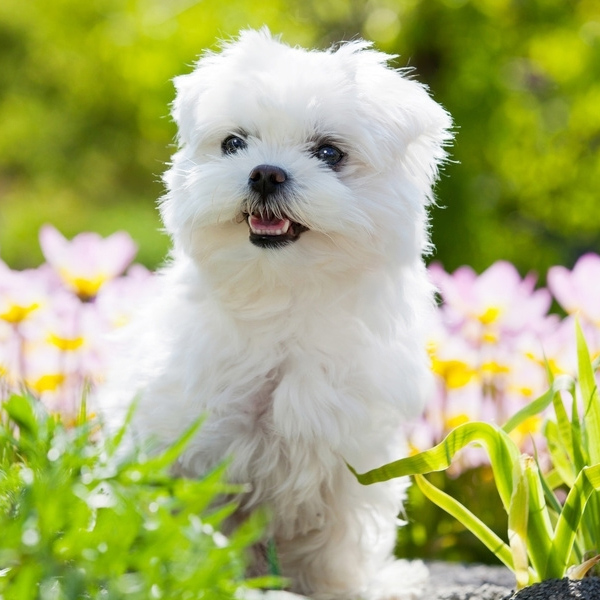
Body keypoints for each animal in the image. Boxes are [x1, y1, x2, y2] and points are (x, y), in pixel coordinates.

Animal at [100, 29, 452, 599]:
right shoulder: (197, 442)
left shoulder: (350, 448)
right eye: (233, 143)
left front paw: (340, 587)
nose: (265, 173)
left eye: (329, 152)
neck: (282, 293)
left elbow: (338, 534)